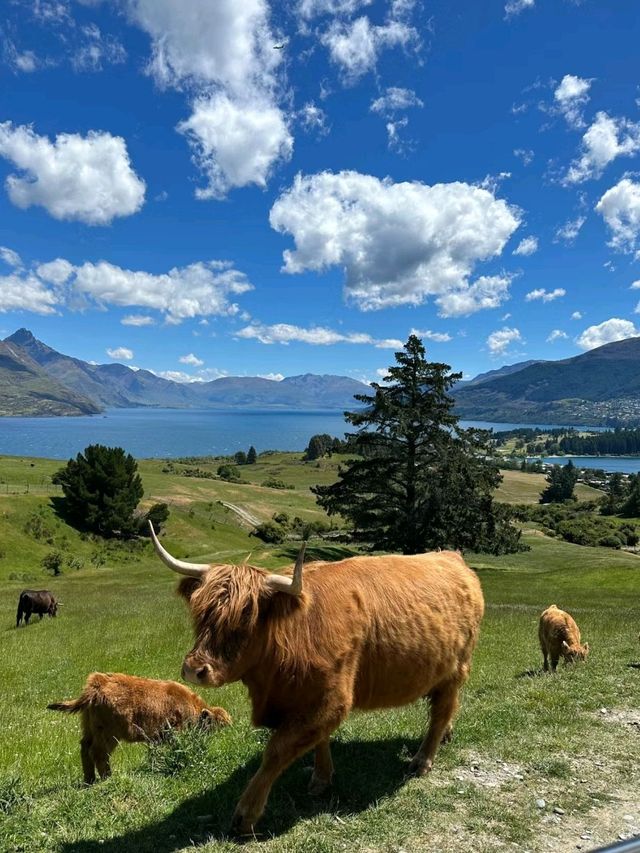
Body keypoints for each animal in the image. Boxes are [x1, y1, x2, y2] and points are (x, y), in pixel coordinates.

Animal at [48, 668, 232, 784]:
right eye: (214, 727)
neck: (191, 706)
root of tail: (97, 683)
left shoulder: (156, 738)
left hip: (89, 728)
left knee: (85, 747)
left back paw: (89, 779)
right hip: (109, 734)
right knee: (98, 752)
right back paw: (107, 777)